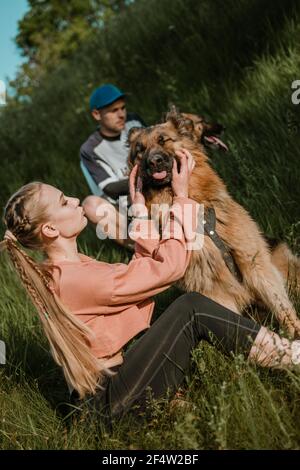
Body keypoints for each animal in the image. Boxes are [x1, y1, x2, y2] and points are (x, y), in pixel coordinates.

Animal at [127, 109, 300, 338]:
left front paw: (294, 333)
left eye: (163, 140)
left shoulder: (254, 263)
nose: (154, 161)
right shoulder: (212, 289)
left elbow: (279, 303)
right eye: (140, 151)